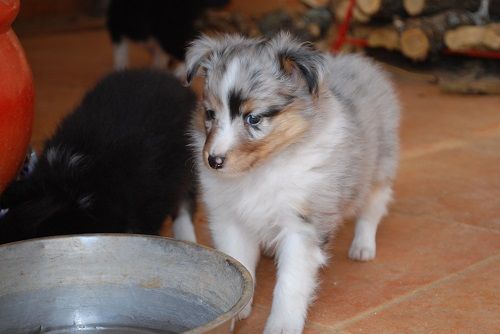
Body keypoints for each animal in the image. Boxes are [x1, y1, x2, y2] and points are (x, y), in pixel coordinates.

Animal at [186, 32, 400, 334]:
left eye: (254, 118)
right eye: (209, 114)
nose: (213, 161)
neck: (263, 169)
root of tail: (358, 62)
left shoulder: (302, 225)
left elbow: (291, 282)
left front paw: (282, 324)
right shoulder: (230, 218)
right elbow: (239, 259)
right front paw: (238, 309)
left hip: (378, 168)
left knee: (372, 209)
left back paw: (363, 247)